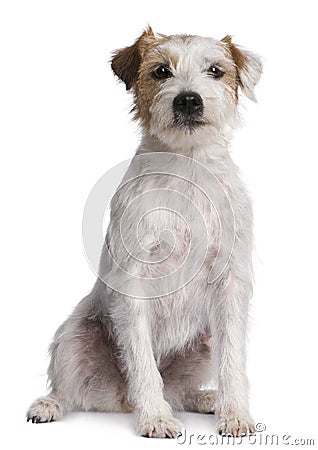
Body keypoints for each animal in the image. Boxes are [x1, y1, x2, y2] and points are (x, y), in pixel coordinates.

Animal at [26, 26, 260, 438]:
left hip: (203, 342)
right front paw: (155, 418)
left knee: (180, 390)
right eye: (161, 71)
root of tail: (119, 399)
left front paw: (235, 415)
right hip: (73, 336)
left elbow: (232, 360)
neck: (187, 166)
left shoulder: (230, 283)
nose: (188, 99)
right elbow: (142, 361)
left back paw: (206, 399)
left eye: (215, 70)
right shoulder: (133, 283)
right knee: (71, 390)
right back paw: (50, 405)